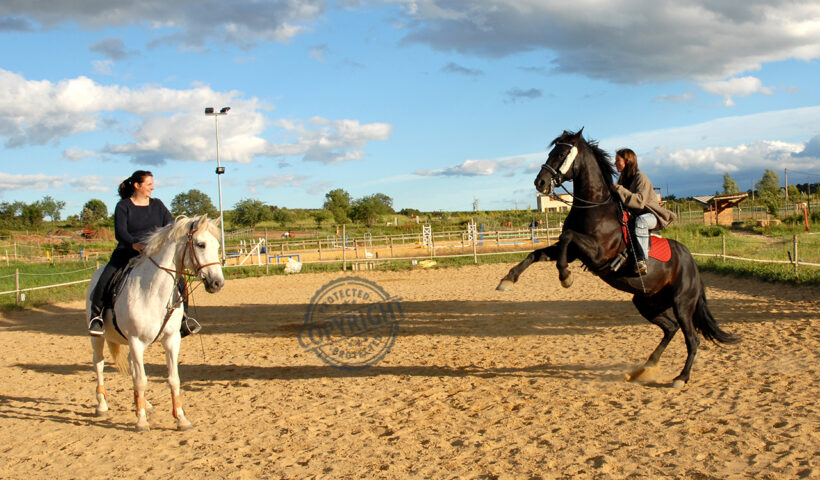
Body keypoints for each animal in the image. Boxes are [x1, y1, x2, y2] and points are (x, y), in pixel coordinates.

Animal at [86, 214, 224, 432]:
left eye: (217, 245)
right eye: (200, 244)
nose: (218, 283)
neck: (152, 291)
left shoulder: (171, 340)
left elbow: (173, 379)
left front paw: (181, 419)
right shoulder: (135, 340)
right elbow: (142, 380)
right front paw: (141, 422)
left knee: (132, 368)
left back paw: (143, 404)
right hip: (98, 338)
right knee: (99, 364)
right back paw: (102, 406)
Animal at [496, 129, 740, 388]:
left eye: (561, 153)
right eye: (552, 152)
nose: (540, 183)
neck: (594, 208)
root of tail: (692, 264)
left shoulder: (596, 253)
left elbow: (567, 238)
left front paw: (565, 277)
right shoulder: (573, 251)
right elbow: (537, 253)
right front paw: (507, 280)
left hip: (682, 304)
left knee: (692, 339)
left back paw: (680, 378)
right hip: (646, 303)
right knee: (670, 329)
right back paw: (645, 368)